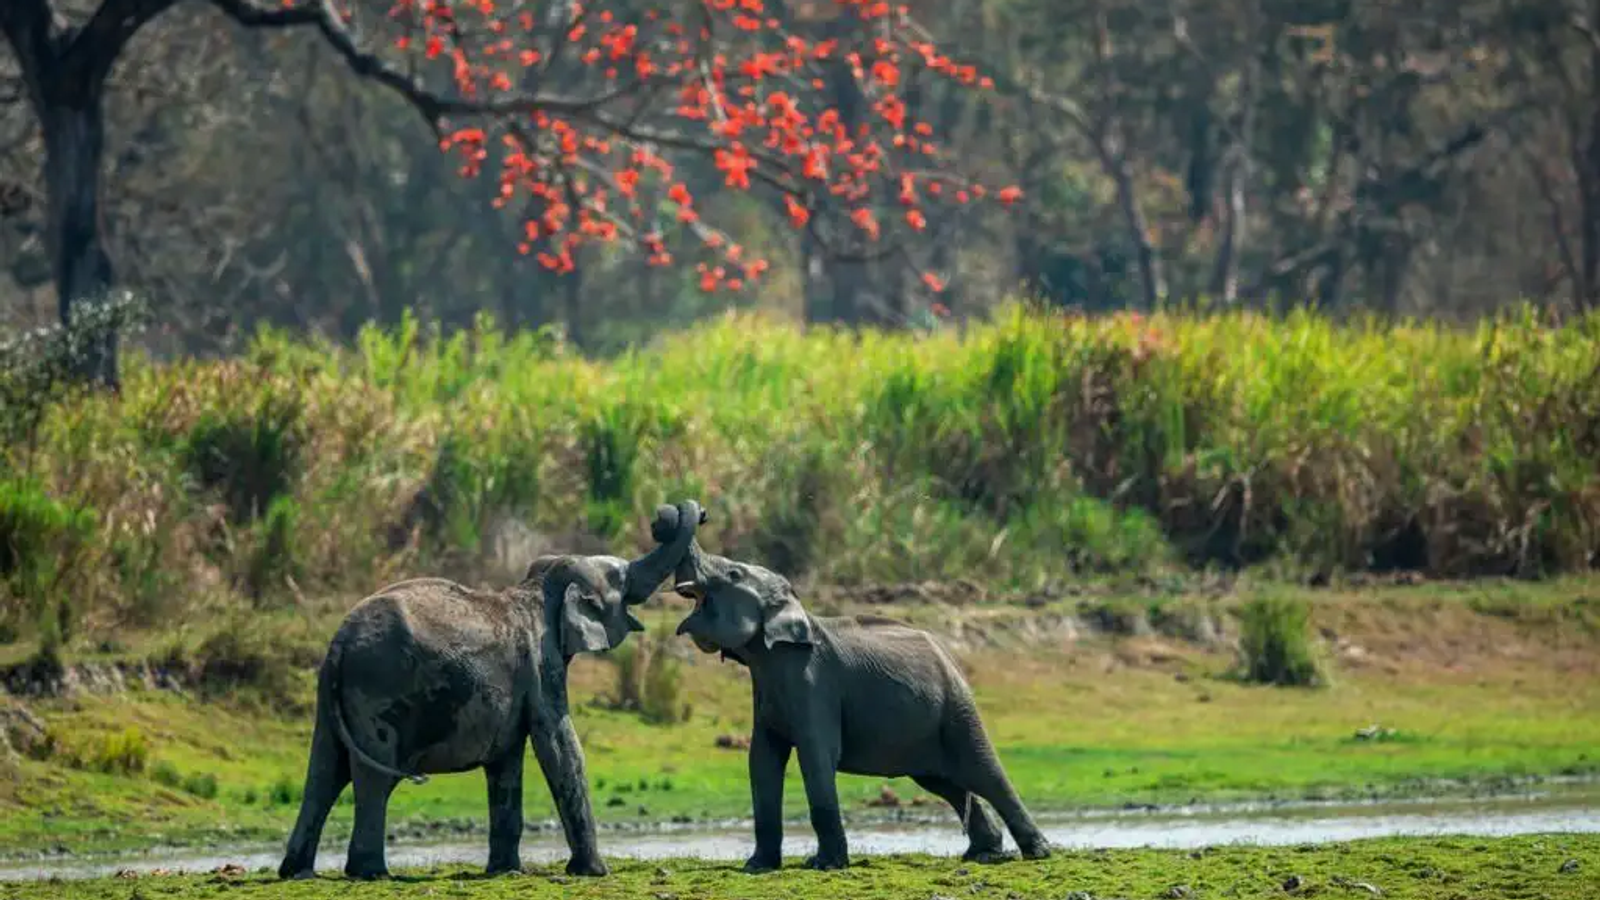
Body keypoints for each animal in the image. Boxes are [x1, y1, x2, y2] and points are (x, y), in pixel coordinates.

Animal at [277, 499, 705, 881]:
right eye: (620, 579)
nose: (670, 516)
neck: (539, 587)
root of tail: (339, 643)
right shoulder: (541, 663)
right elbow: (559, 746)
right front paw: (594, 873)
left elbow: (506, 762)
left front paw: (507, 871)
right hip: (376, 688)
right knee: (372, 776)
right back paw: (370, 873)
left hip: (334, 696)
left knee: (325, 771)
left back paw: (297, 872)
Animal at [671, 542, 1052, 873]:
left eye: (734, 573)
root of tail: (950, 657)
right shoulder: (767, 686)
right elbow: (762, 760)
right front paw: (757, 867)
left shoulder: (813, 682)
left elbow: (816, 756)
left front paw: (824, 865)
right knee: (945, 782)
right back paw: (983, 855)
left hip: (957, 708)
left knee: (984, 773)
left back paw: (1037, 853)